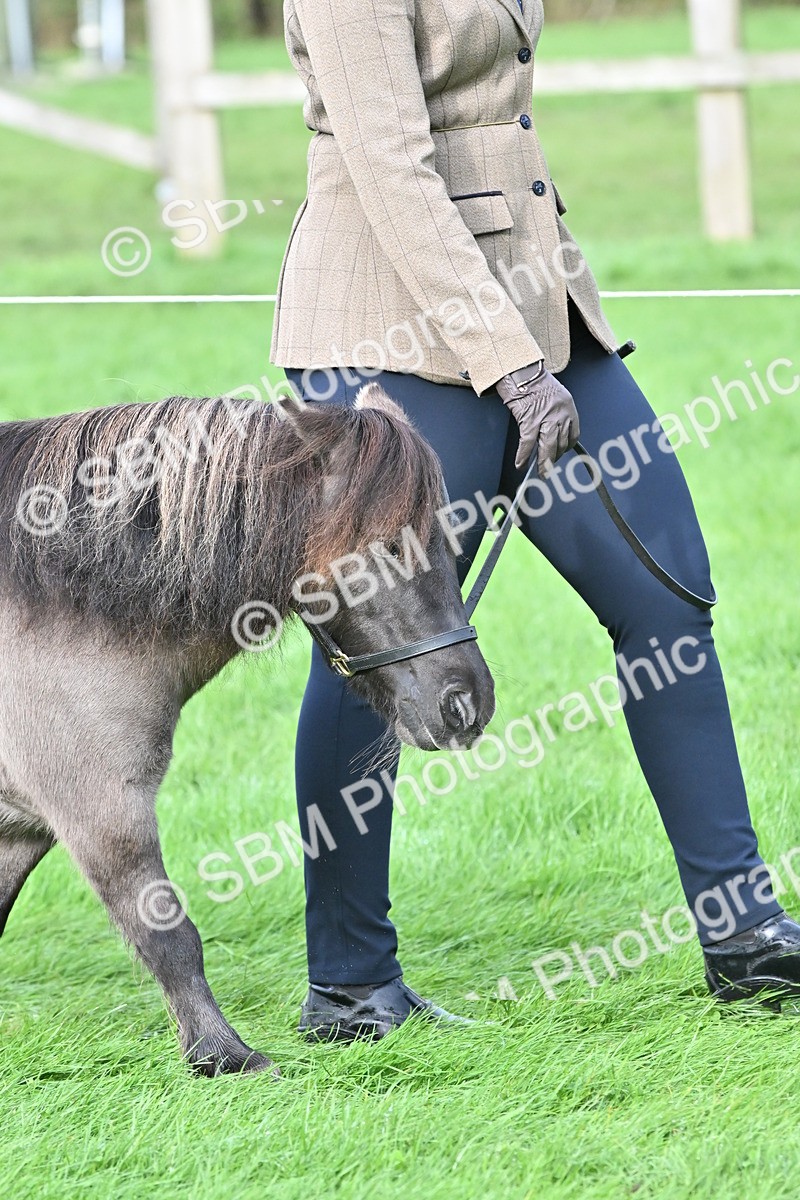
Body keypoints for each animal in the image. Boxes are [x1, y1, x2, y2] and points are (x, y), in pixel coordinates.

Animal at [0, 384, 495, 1076]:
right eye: (389, 546)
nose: (467, 704)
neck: (56, 602)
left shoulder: (19, 827)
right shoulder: (99, 809)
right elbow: (168, 931)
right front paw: (223, 1055)